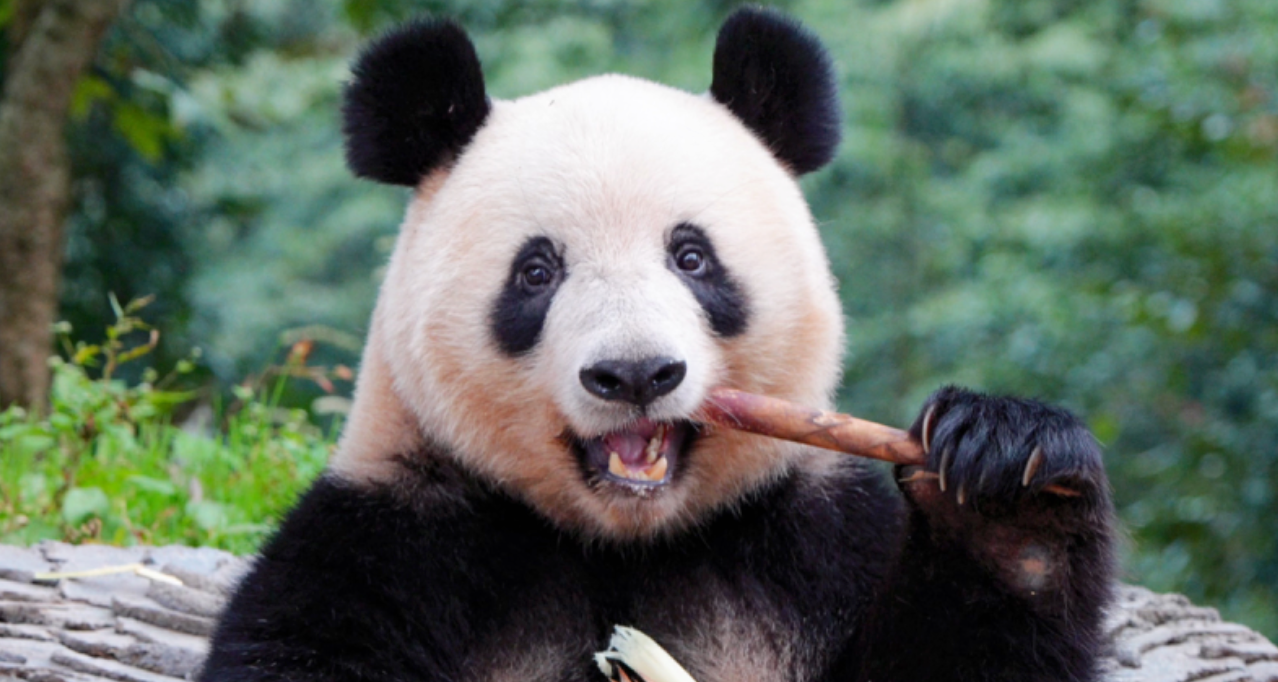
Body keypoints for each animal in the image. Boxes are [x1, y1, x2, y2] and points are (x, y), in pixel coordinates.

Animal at [200, 8, 1115, 682]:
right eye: (537, 271)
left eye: (692, 257)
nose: (635, 373)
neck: (628, 539)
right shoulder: (390, 543)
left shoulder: (813, 543)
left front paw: (1006, 482)